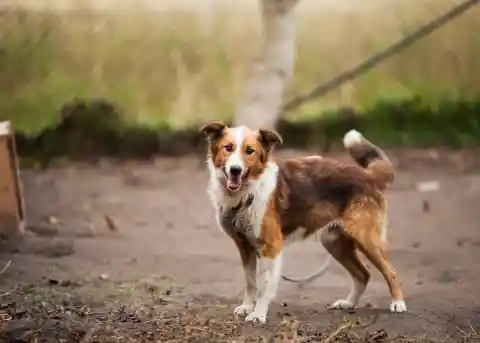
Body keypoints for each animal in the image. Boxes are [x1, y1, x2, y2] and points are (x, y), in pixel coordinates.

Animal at [201, 123, 406, 326]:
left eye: (249, 151)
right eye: (228, 148)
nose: (235, 169)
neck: (247, 192)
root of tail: (367, 175)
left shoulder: (270, 247)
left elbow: (264, 286)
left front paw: (258, 314)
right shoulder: (244, 245)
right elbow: (251, 281)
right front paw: (247, 307)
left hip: (365, 239)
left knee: (390, 271)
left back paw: (398, 303)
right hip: (335, 243)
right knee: (363, 274)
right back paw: (349, 303)